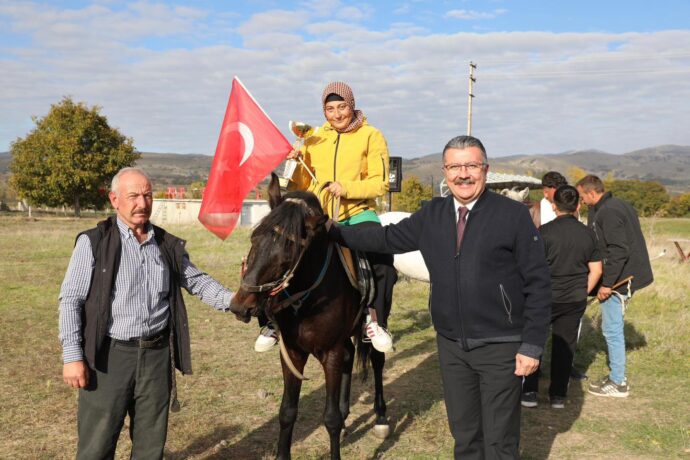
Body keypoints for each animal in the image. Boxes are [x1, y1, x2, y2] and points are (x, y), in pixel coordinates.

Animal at [227, 173, 384, 460]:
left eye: (287, 254)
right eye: (254, 237)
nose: (240, 306)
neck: (309, 299)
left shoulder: (330, 353)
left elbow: (330, 418)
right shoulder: (293, 353)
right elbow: (287, 412)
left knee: (377, 360)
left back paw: (381, 420)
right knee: (349, 357)